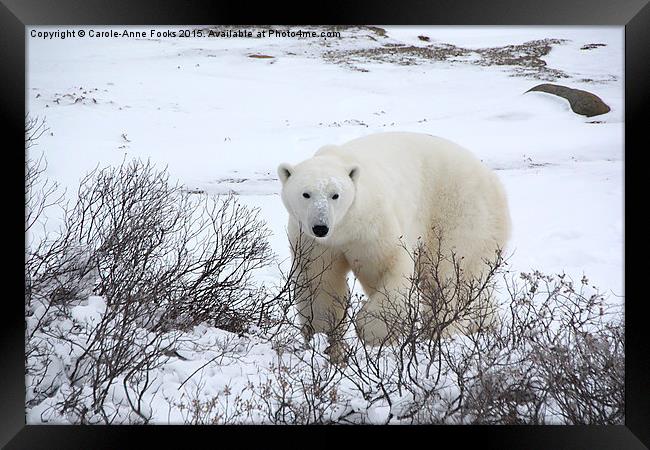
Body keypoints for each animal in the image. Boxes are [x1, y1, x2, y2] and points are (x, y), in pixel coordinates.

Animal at [276, 132, 508, 354]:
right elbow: (318, 282)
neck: (344, 228)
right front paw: (323, 337)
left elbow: (390, 267)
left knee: (450, 276)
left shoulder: (371, 226)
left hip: (460, 210)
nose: (320, 227)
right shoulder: (313, 242)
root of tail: (492, 179)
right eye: (306, 194)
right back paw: (485, 325)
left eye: (335, 195)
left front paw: (370, 329)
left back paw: (441, 331)